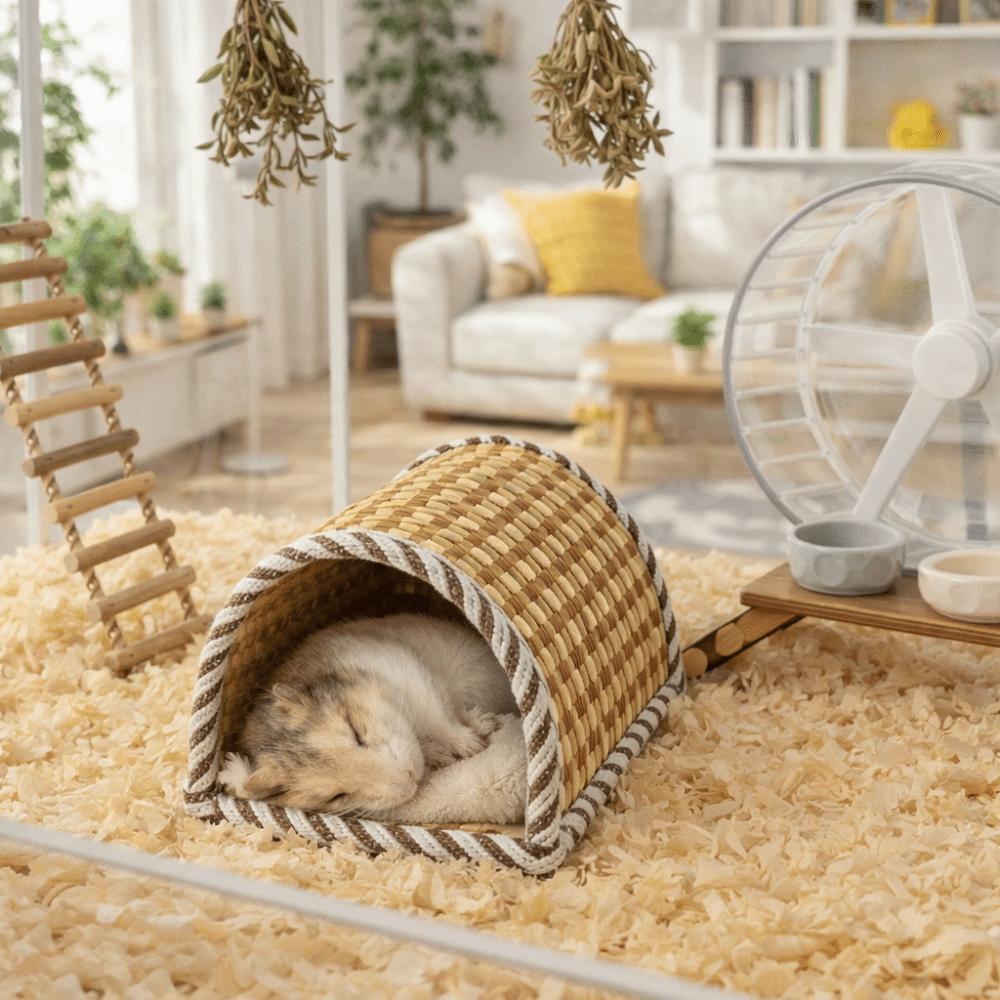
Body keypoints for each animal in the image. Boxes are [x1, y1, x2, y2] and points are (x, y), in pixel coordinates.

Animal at [219, 613, 518, 817]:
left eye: (356, 732)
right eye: (337, 796)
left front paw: (473, 746)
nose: (411, 780)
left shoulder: (411, 675)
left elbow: (441, 719)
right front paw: (448, 755)